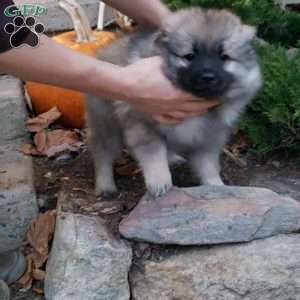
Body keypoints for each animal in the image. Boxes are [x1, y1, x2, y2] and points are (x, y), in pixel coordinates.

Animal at [85, 7, 262, 197]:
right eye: (190, 56)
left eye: (224, 57)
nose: (208, 77)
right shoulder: (143, 125)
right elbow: (154, 155)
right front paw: (160, 182)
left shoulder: (208, 137)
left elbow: (208, 166)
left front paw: (216, 186)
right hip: (107, 124)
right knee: (103, 154)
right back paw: (105, 185)